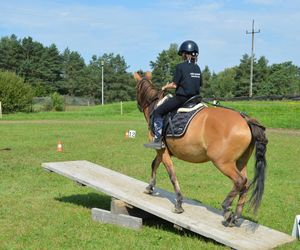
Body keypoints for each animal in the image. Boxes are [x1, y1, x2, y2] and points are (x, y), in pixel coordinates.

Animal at [134, 71, 268, 227]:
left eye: (136, 88)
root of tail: (246, 120)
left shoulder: (161, 150)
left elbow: (171, 174)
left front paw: (178, 203)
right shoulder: (163, 151)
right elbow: (154, 164)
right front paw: (150, 187)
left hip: (222, 162)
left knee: (240, 181)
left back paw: (226, 209)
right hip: (241, 162)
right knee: (245, 184)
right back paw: (235, 216)